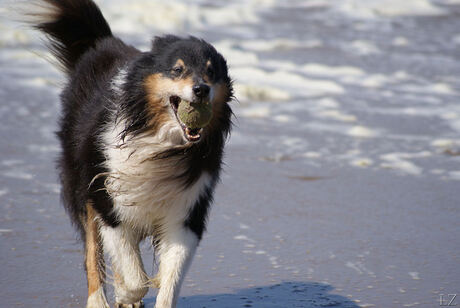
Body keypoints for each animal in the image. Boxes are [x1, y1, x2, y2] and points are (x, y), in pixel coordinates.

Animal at [28, 1, 234, 306]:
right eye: (177, 69)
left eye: (211, 72)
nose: (201, 89)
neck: (161, 143)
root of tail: (103, 44)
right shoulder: (108, 200)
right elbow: (134, 276)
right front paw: (125, 292)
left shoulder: (186, 212)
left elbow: (169, 280)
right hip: (82, 184)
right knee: (93, 255)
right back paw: (98, 301)